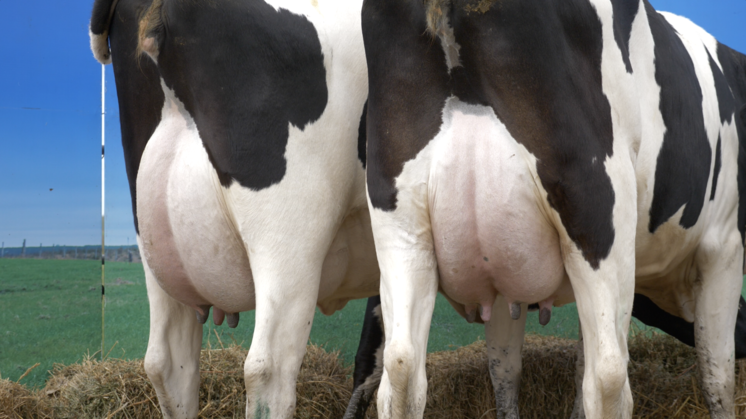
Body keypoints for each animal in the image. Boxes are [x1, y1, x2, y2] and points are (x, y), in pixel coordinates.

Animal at [361, 0, 746, 418]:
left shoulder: (499, 278)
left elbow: (506, 366)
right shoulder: (724, 245)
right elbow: (718, 374)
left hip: (401, 229)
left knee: (402, 368)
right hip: (601, 225)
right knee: (608, 375)